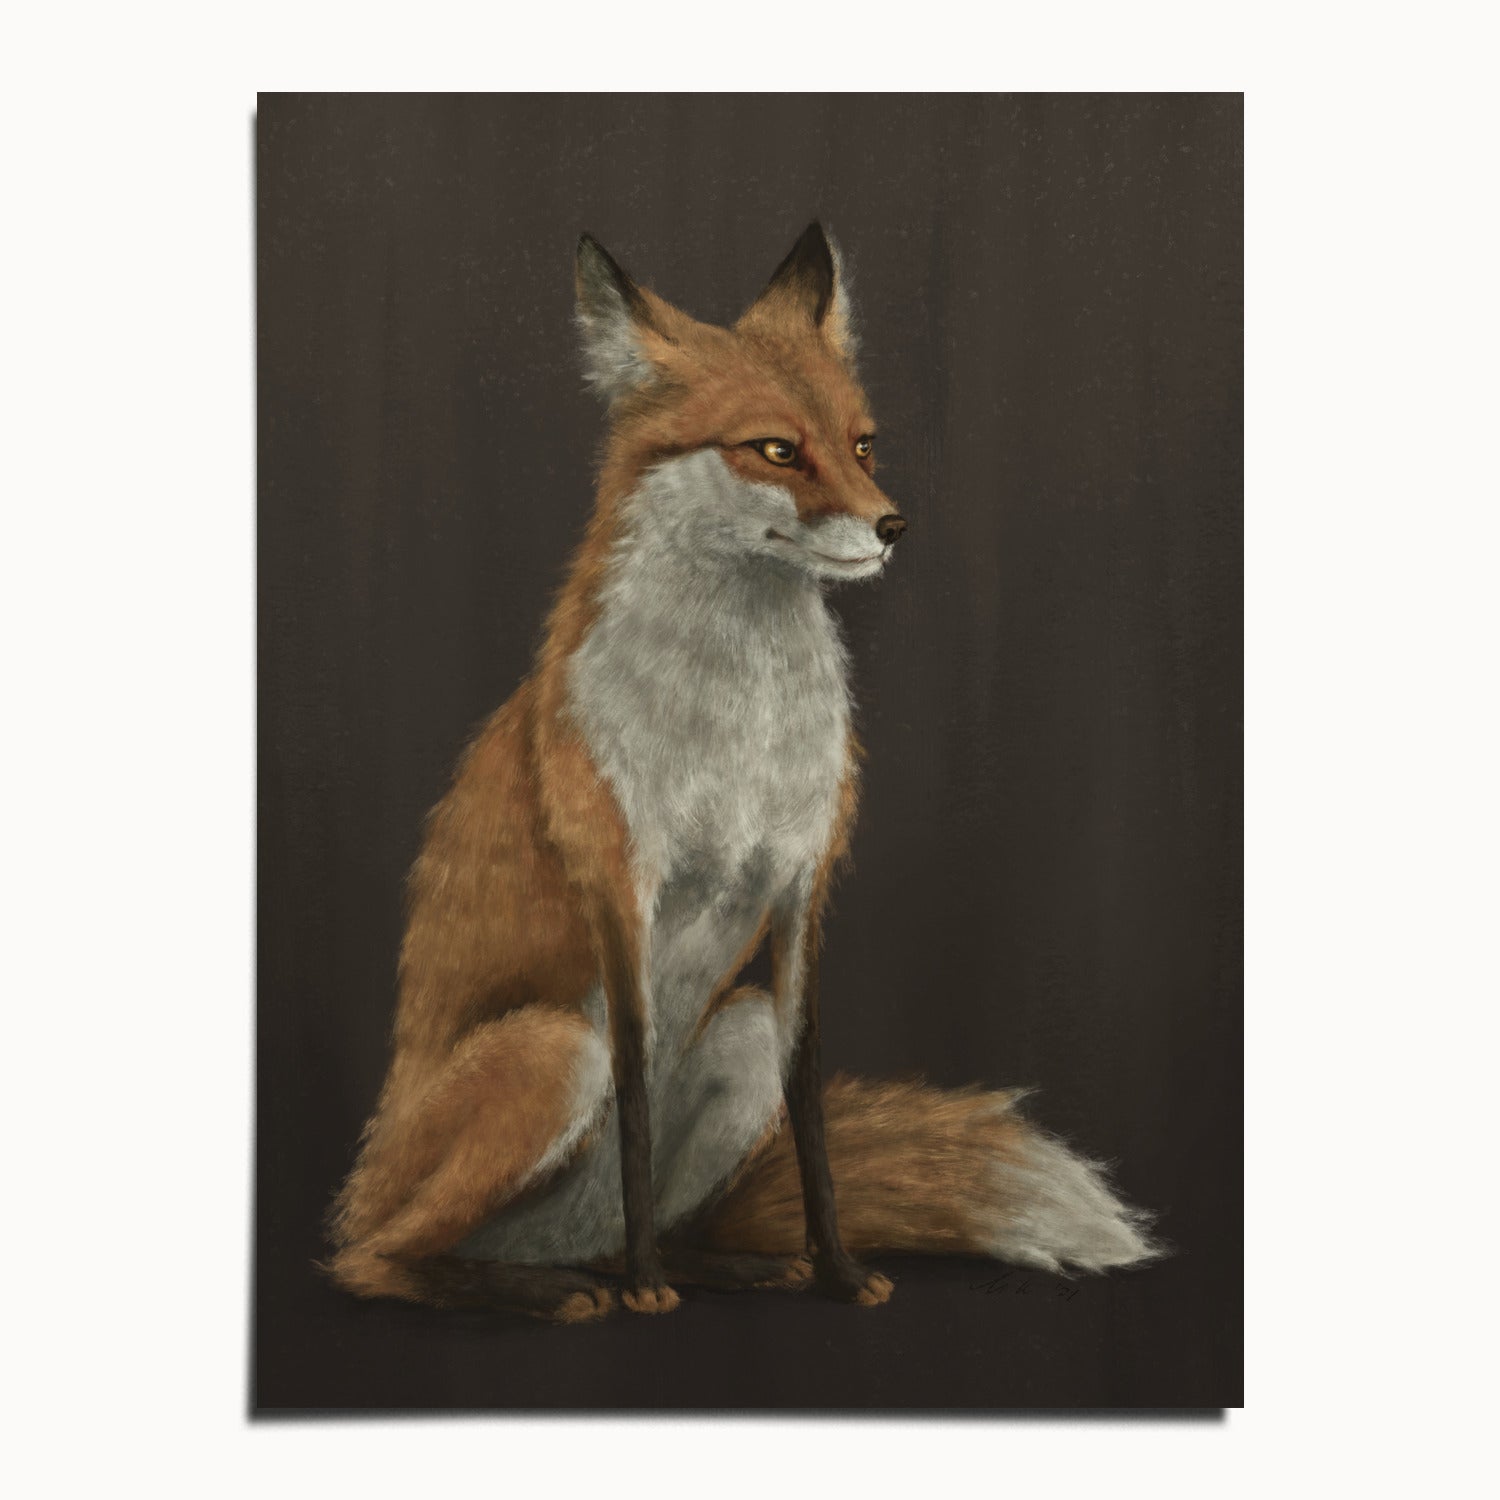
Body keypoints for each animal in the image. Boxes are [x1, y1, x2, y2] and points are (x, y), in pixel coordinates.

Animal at [325, 222, 1159, 1322]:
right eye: (775, 449)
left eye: (862, 444)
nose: (893, 526)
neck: (739, 730)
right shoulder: (622, 890)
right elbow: (636, 1099)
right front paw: (648, 1291)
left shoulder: (802, 888)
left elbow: (810, 1115)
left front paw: (837, 1271)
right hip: (551, 1051)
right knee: (377, 1259)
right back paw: (559, 1287)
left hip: (739, 1033)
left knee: (623, 1225)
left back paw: (716, 1265)